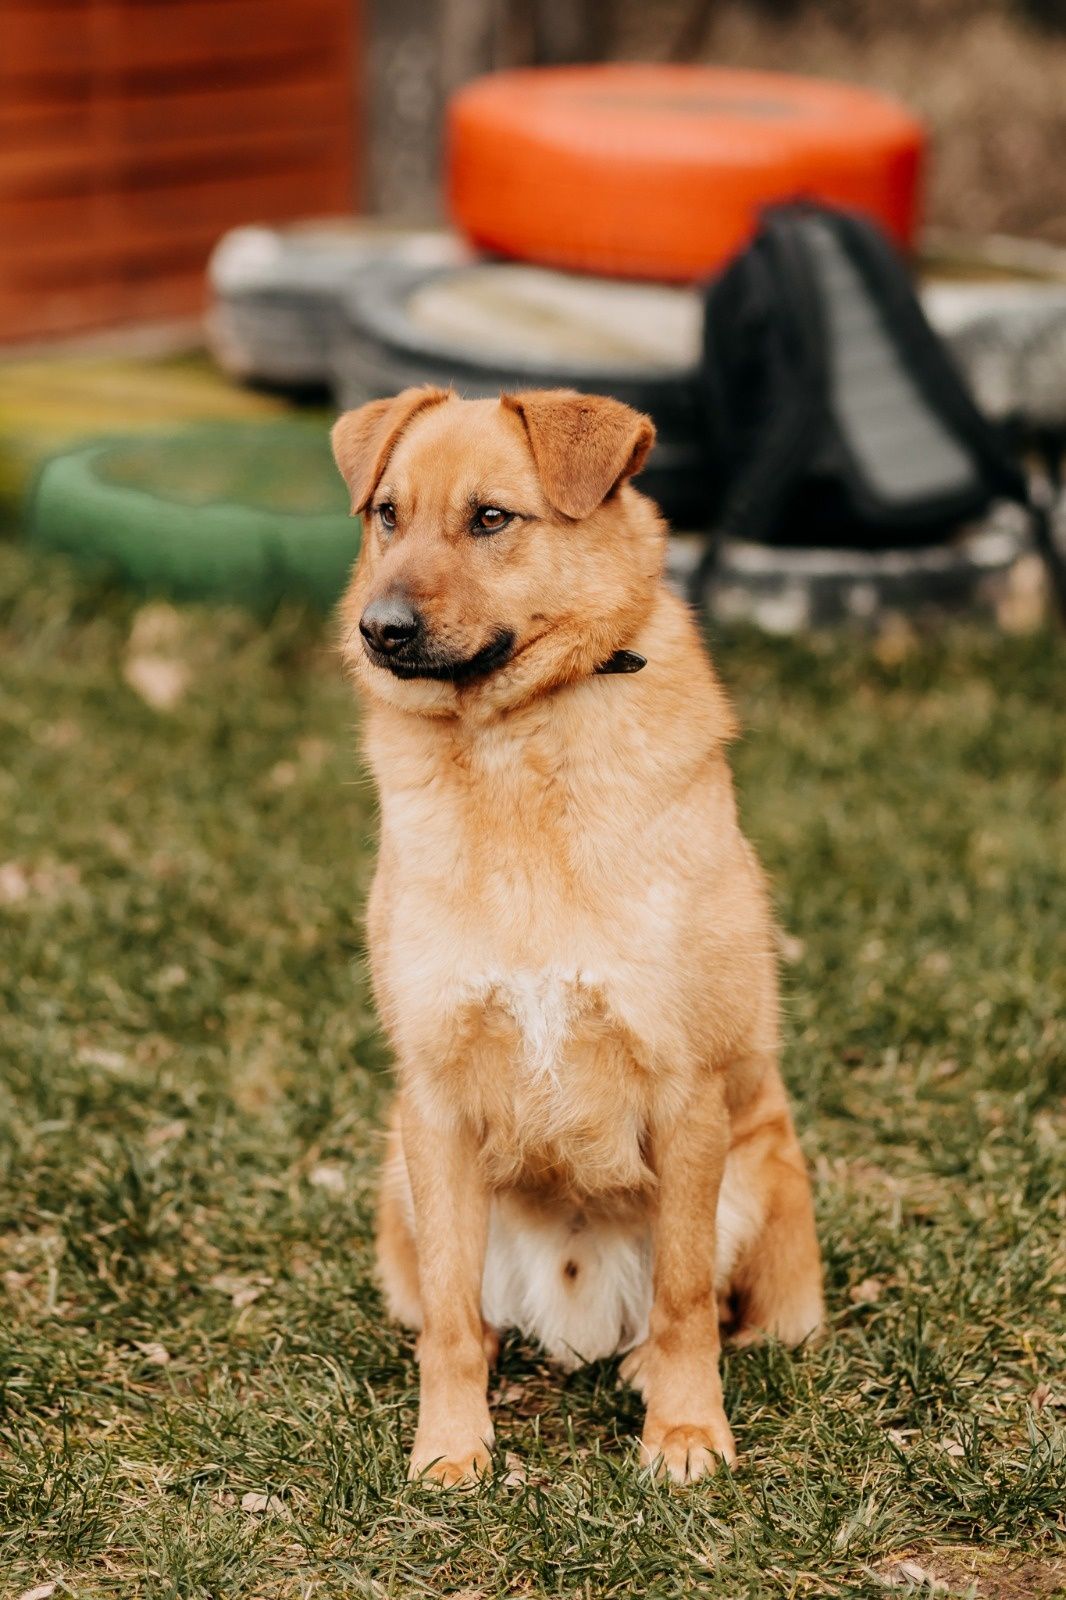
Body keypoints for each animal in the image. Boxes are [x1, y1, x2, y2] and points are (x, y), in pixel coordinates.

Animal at [332, 387, 819, 1484]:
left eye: (490, 518)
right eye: (387, 514)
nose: (379, 629)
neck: (513, 746)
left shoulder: (687, 1099)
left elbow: (683, 1298)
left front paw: (685, 1433)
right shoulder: (433, 1103)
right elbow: (450, 1321)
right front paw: (450, 1447)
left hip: (758, 1181)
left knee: (709, 1312)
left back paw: (646, 1371)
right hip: (399, 1181)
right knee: (459, 1311)